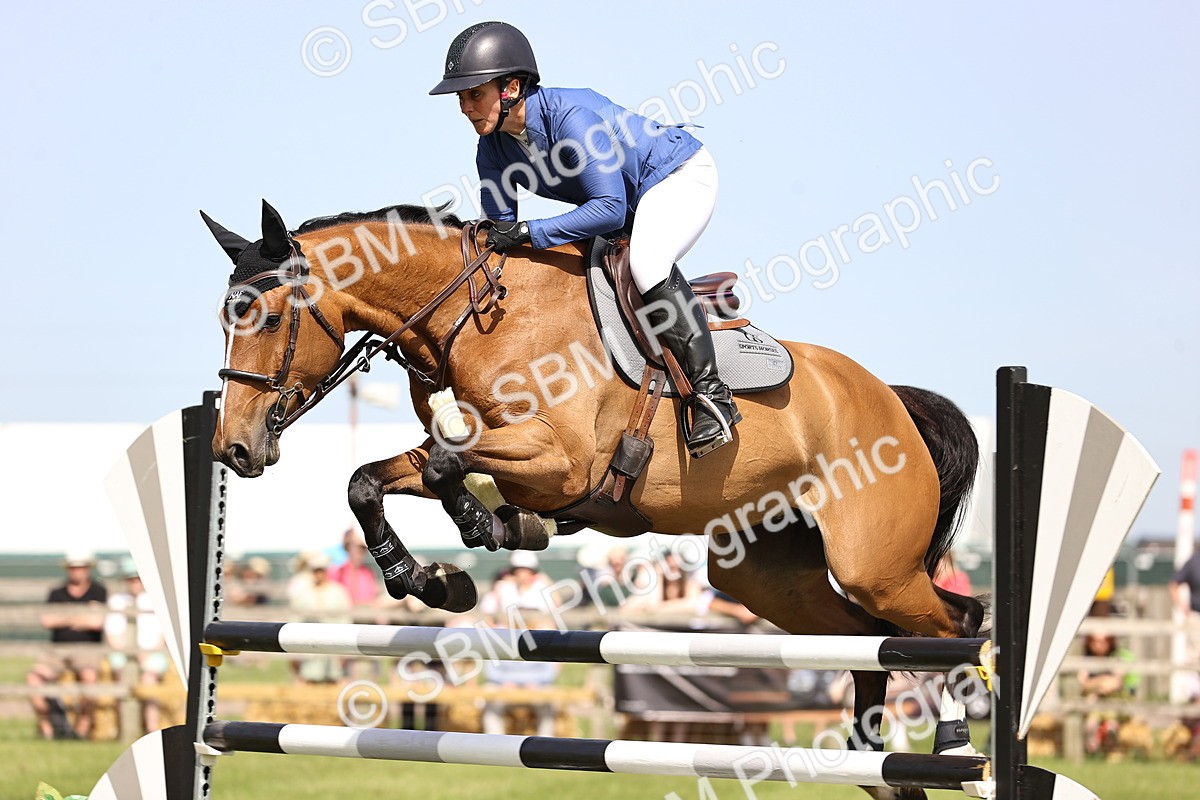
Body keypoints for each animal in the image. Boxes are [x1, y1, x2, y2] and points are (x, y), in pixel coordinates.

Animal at [206, 200, 984, 800]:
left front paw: (484, 531)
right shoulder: (487, 453)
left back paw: (952, 742)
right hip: (768, 577)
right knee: (865, 642)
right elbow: (370, 479)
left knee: (956, 623)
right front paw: (427, 579)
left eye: (268, 318)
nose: (232, 449)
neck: (481, 318)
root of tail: (893, 401)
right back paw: (879, 769)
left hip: (873, 565)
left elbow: (450, 468)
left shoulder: (561, 463)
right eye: (224, 320)